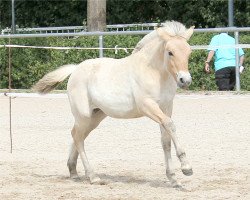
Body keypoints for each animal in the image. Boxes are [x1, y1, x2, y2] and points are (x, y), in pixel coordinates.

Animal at [32, 20, 194, 188]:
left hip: (95, 116)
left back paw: (74, 172)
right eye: (170, 52)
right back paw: (93, 176)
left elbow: (166, 140)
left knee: (78, 135)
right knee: (77, 136)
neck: (154, 72)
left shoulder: (166, 107)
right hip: (83, 115)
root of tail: (76, 69)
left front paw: (173, 178)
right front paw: (186, 167)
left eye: (189, 52)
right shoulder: (148, 106)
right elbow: (170, 125)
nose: (185, 80)